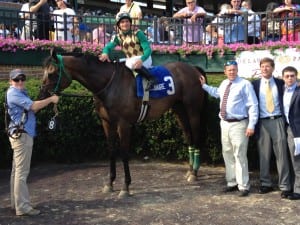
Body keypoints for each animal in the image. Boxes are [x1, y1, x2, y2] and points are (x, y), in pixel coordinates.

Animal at [39, 50, 207, 198]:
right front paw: (109, 183)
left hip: (192, 110)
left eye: (52, 73)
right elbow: (111, 150)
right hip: (179, 110)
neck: (109, 84)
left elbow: (124, 153)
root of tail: (193, 68)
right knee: (188, 136)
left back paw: (194, 173)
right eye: (44, 72)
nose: (41, 95)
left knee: (196, 135)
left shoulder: (124, 124)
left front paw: (125, 187)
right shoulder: (107, 122)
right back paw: (190, 170)